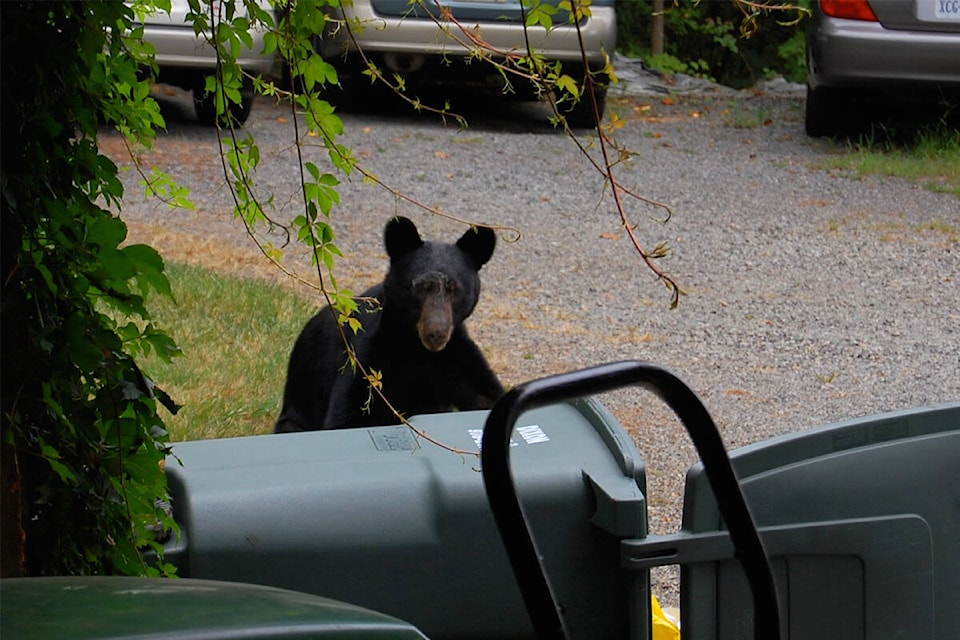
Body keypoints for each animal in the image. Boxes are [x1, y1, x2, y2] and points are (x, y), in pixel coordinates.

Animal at [274, 218, 502, 432]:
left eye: (454, 288)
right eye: (419, 287)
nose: (436, 333)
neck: (418, 351)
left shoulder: (456, 356)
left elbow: (486, 394)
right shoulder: (369, 359)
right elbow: (349, 414)